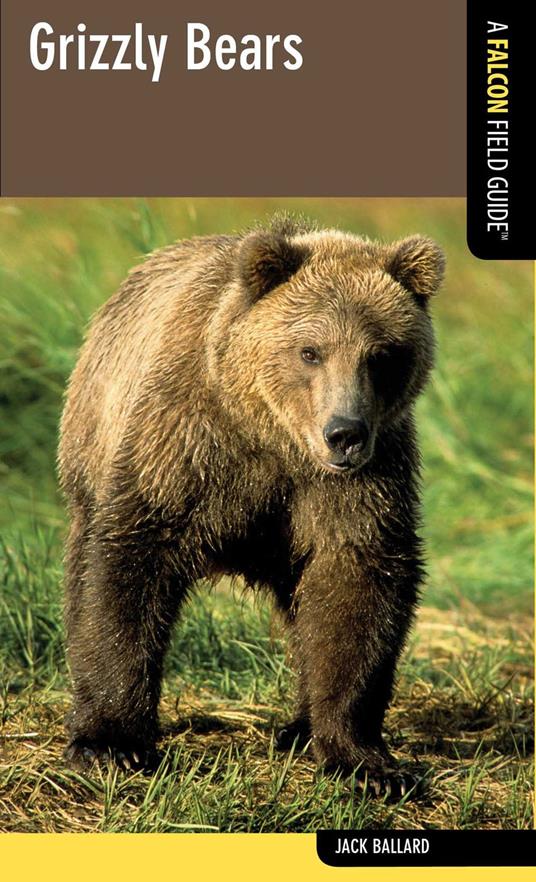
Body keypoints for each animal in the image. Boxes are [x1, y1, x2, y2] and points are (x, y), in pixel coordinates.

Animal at [58, 216, 445, 797]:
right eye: (310, 351)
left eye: (381, 355)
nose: (345, 434)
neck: (272, 436)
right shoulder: (187, 443)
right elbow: (130, 565)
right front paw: (111, 743)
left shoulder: (359, 483)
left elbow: (355, 582)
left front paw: (364, 761)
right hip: (92, 439)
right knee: (84, 563)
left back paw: (299, 729)